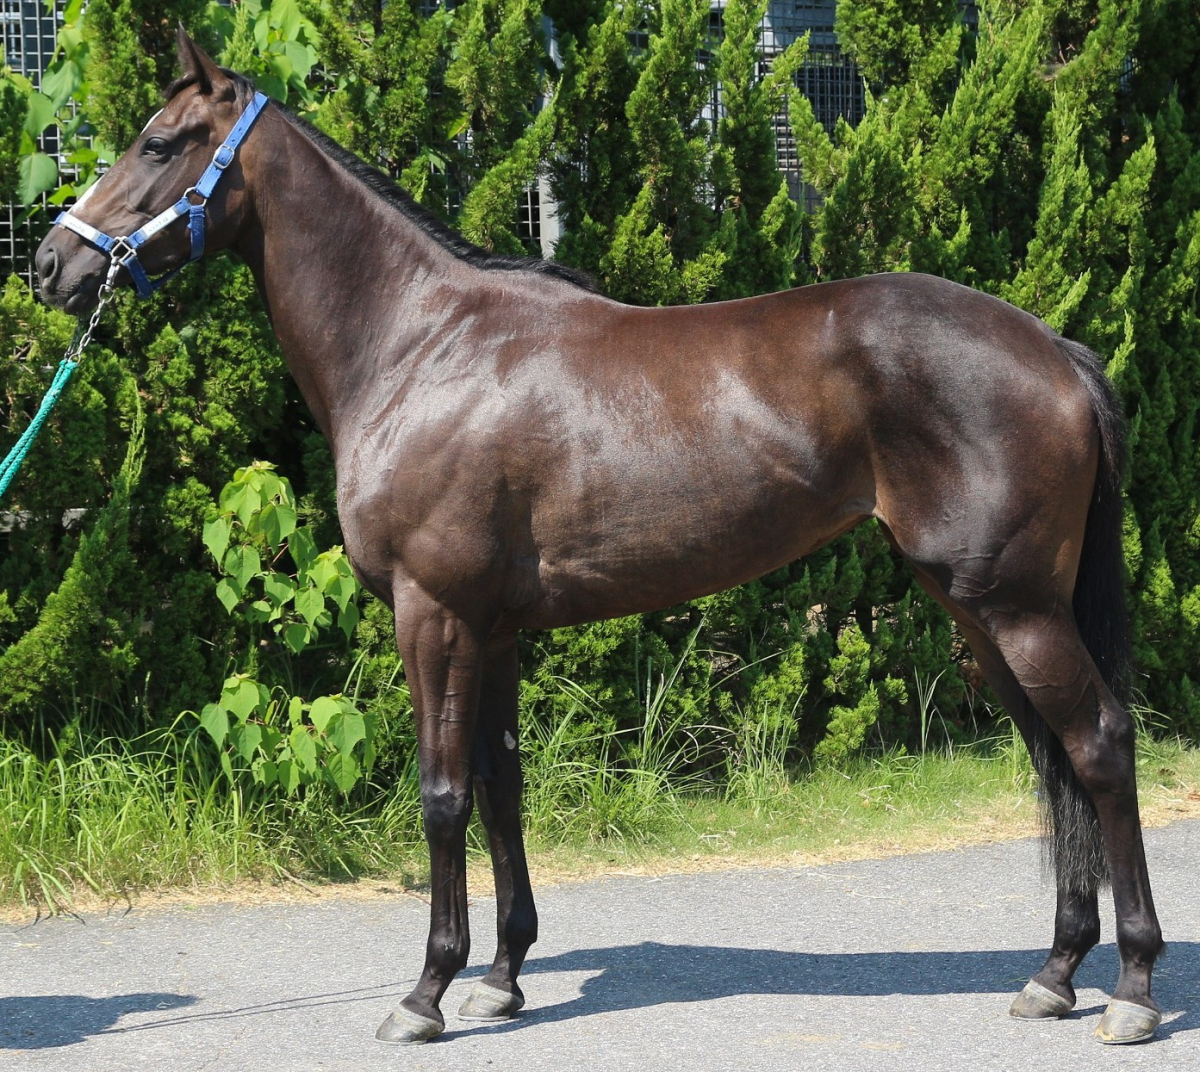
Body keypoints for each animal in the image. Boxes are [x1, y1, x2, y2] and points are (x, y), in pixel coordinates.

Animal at [35, 30, 1163, 1046]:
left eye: (159, 142)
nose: (50, 263)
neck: (420, 344)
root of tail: (1054, 348)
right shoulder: (491, 630)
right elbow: (501, 787)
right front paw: (500, 977)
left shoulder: (433, 615)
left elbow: (442, 795)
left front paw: (426, 992)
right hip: (979, 609)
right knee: (1053, 758)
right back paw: (1055, 973)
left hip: (1014, 606)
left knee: (1100, 745)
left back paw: (1133, 988)